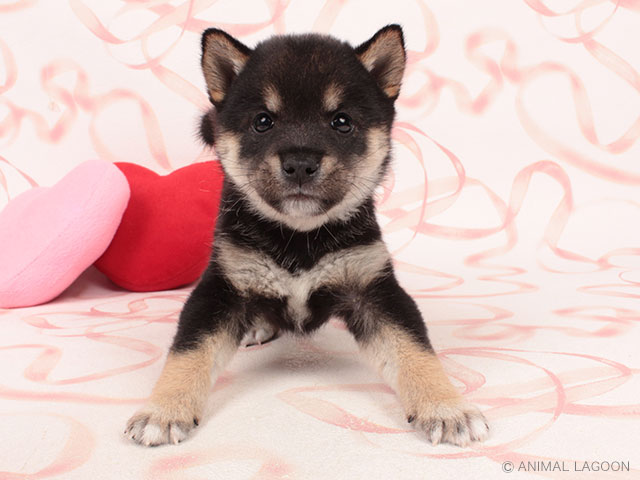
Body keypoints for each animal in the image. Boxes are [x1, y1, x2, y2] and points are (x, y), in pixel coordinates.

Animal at [127, 25, 492, 446]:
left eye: (341, 121)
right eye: (263, 121)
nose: (300, 163)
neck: (300, 239)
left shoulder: (373, 288)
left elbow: (416, 351)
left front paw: (446, 408)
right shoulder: (221, 286)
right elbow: (187, 352)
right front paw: (163, 409)